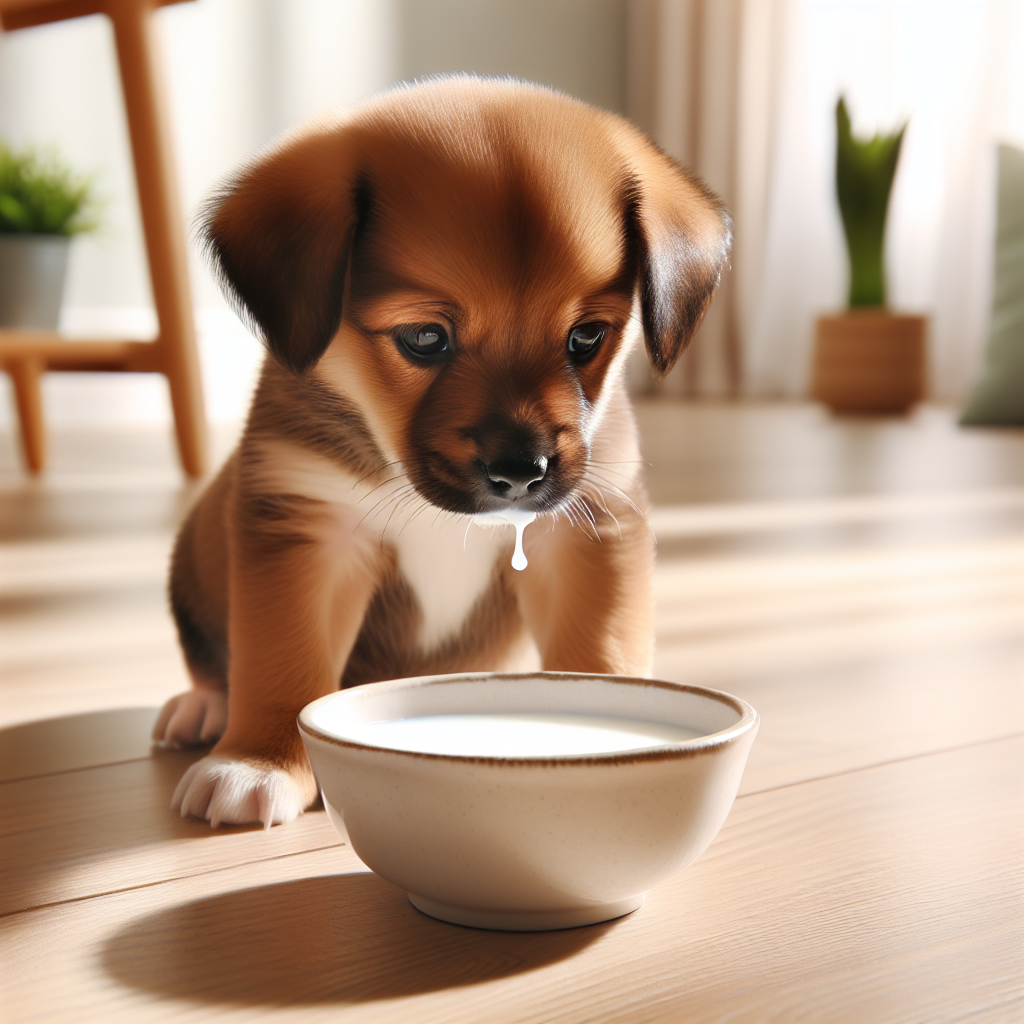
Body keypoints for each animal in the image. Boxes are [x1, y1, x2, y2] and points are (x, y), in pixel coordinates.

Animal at [153, 74, 729, 823]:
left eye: (586, 338)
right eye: (424, 339)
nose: (521, 475)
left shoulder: (587, 532)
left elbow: (599, 652)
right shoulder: (308, 528)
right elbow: (281, 662)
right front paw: (256, 763)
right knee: (212, 660)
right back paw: (200, 709)